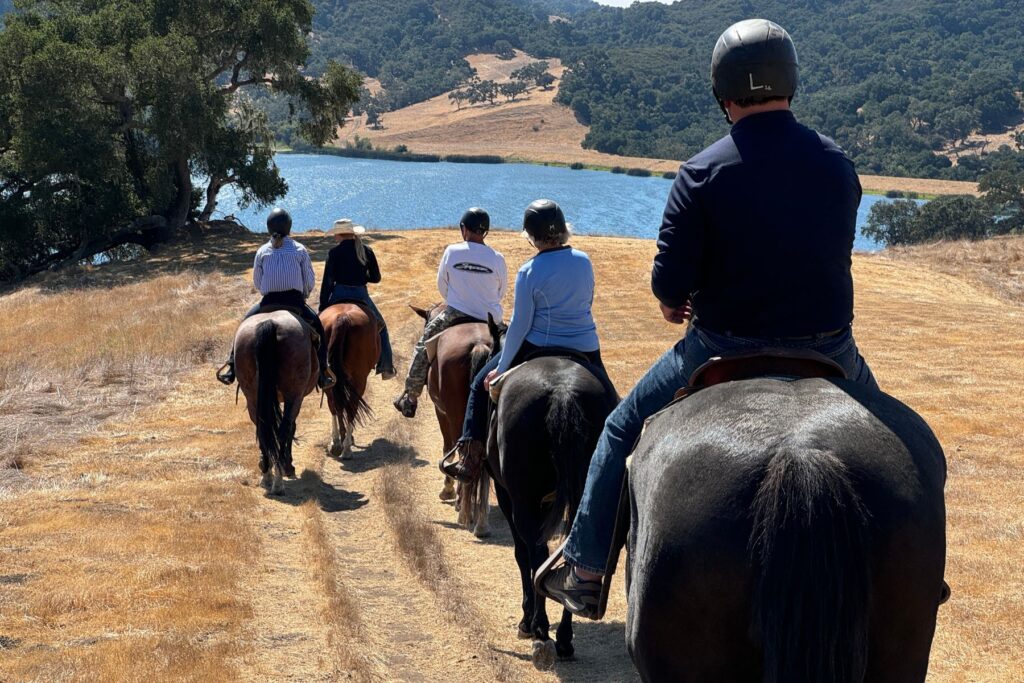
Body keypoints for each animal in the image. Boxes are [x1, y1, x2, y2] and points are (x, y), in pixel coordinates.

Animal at [234, 313, 317, 493]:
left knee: (263, 429)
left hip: (253, 397)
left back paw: (267, 475)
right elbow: (292, 427)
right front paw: (289, 465)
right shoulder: (295, 398)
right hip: (293, 395)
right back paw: (279, 480)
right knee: (283, 430)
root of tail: (270, 322)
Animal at [319, 303, 376, 458]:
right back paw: (346, 448)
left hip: (329, 377)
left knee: (334, 405)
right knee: (351, 406)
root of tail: (342, 318)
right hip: (359, 378)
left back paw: (337, 444)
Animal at [415, 305, 495, 540]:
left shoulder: (442, 413)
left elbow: (447, 447)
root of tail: (479, 345)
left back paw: (465, 511)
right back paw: (481, 521)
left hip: (456, 414)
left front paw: (449, 490)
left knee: (464, 450)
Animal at [485, 323, 618, 671]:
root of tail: (563, 393)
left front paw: (526, 621)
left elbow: (522, 555)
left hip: (523, 499)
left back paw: (541, 632)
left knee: (535, 551)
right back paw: (565, 638)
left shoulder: (507, 496)